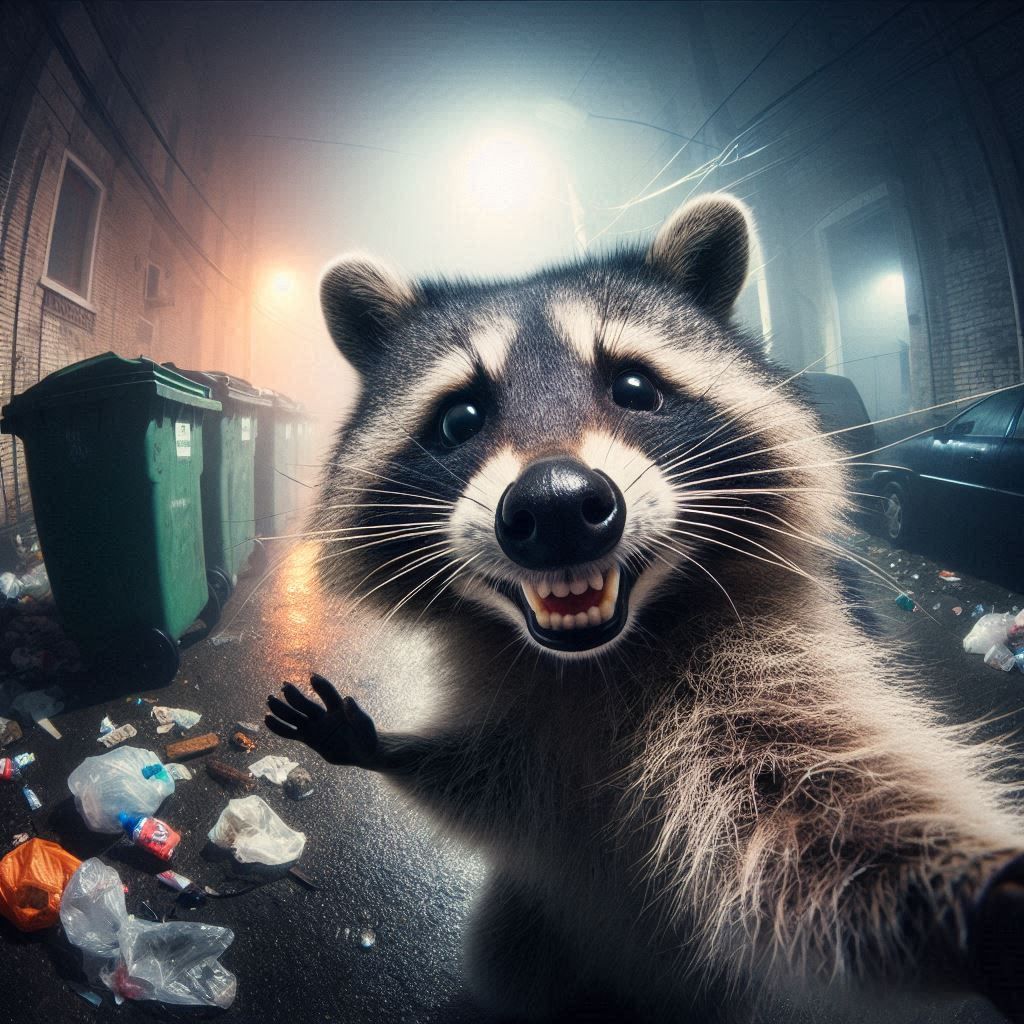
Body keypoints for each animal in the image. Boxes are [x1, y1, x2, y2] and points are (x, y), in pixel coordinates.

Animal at [266, 195, 1024, 1022]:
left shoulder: (769, 657)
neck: (597, 659)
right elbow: (486, 783)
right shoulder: (525, 738)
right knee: (510, 961)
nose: (556, 506)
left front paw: (982, 898)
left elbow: (826, 818)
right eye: (460, 418)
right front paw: (384, 745)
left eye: (633, 388)